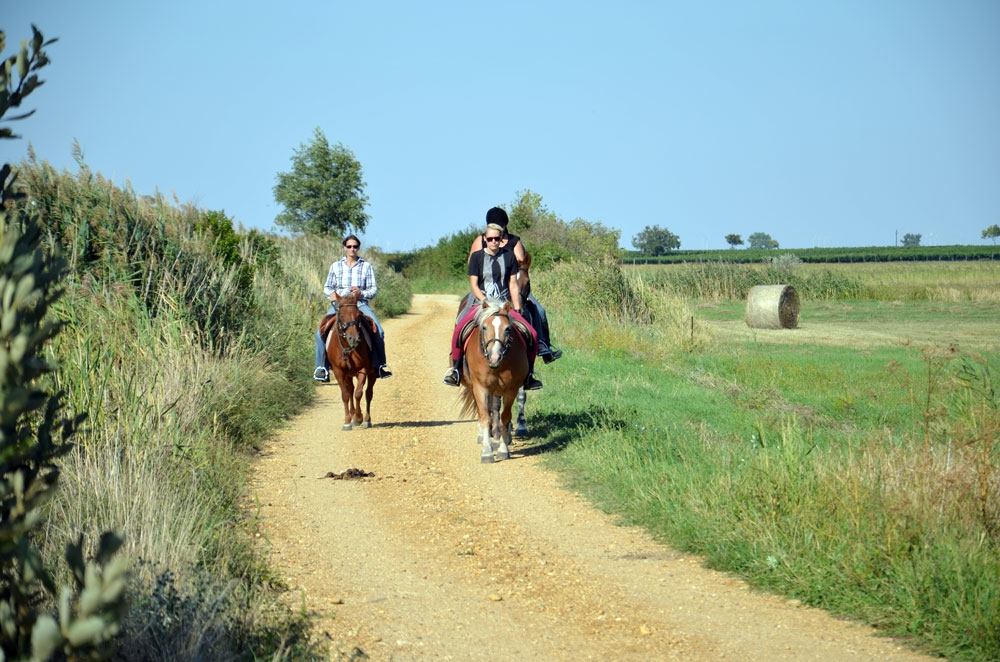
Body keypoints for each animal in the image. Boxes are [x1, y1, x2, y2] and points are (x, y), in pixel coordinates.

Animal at [322, 294, 376, 434]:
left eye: (358, 315)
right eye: (341, 315)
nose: (354, 338)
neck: (347, 348)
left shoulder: (363, 369)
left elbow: (359, 393)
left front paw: (358, 417)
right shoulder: (339, 372)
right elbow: (346, 395)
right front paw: (347, 421)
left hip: (372, 373)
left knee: (368, 393)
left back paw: (367, 419)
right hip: (348, 375)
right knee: (351, 389)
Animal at [458, 302, 528, 466]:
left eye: (507, 329)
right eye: (484, 327)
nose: (495, 357)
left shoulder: (511, 388)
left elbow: (505, 417)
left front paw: (503, 449)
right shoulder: (480, 387)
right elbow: (485, 416)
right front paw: (487, 452)